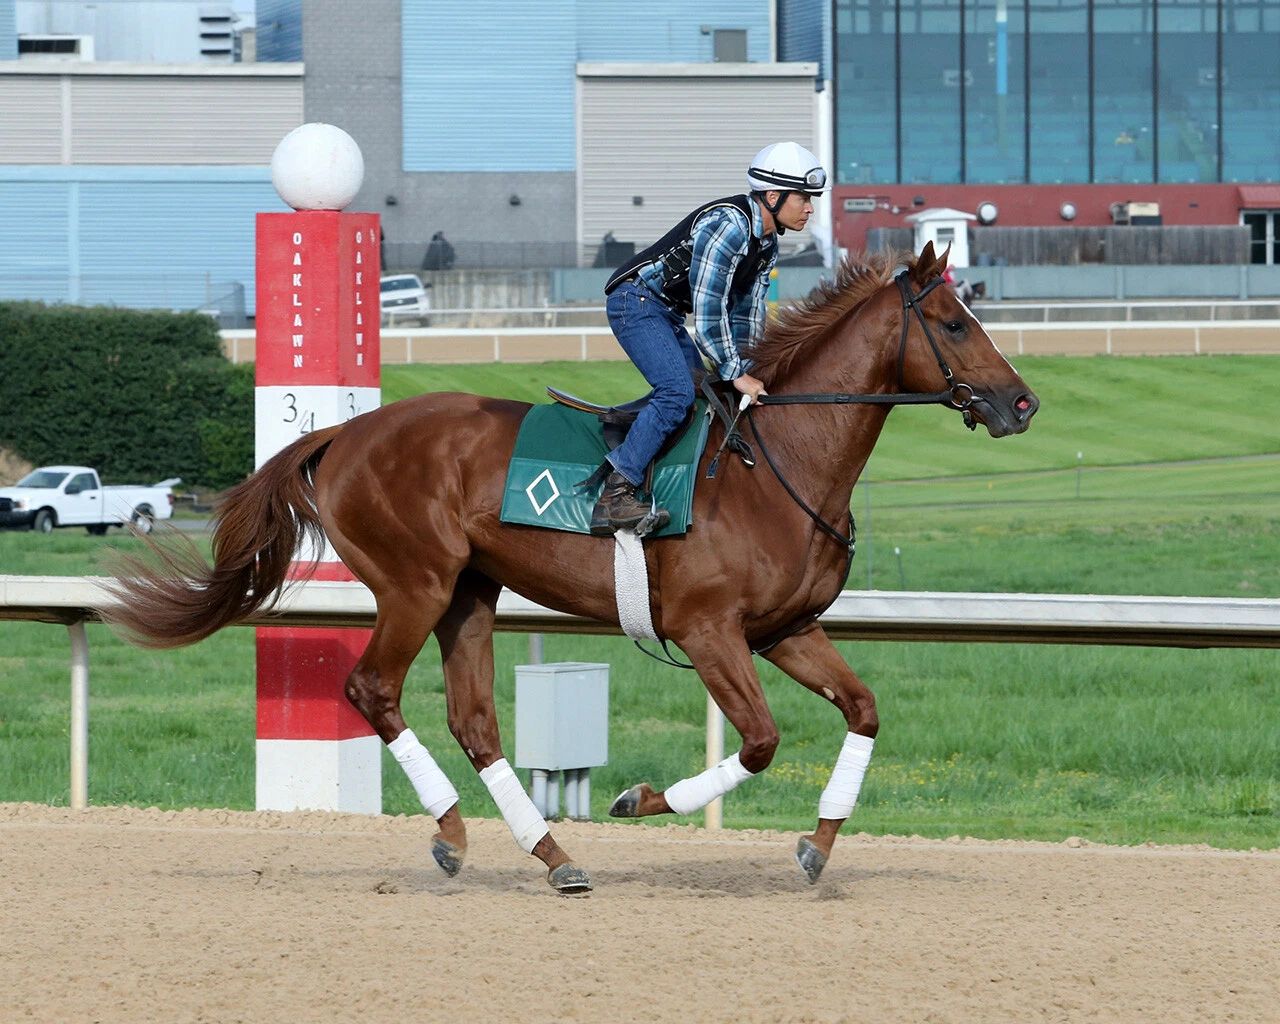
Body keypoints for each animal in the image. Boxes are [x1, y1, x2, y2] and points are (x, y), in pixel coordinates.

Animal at [103, 242, 1038, 894]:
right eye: (955, 323)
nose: (1022, 402)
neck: (778, 464)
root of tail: (341, 432)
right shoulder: (708, 630)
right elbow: (762, 741)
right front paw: (640, 800)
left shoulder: (786, 629)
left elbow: (865, 710)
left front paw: (815, 846)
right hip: (415, 583)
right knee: (374, 690)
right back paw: (453, 836)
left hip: (470, 593)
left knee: (475, 722)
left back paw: (554, 856)